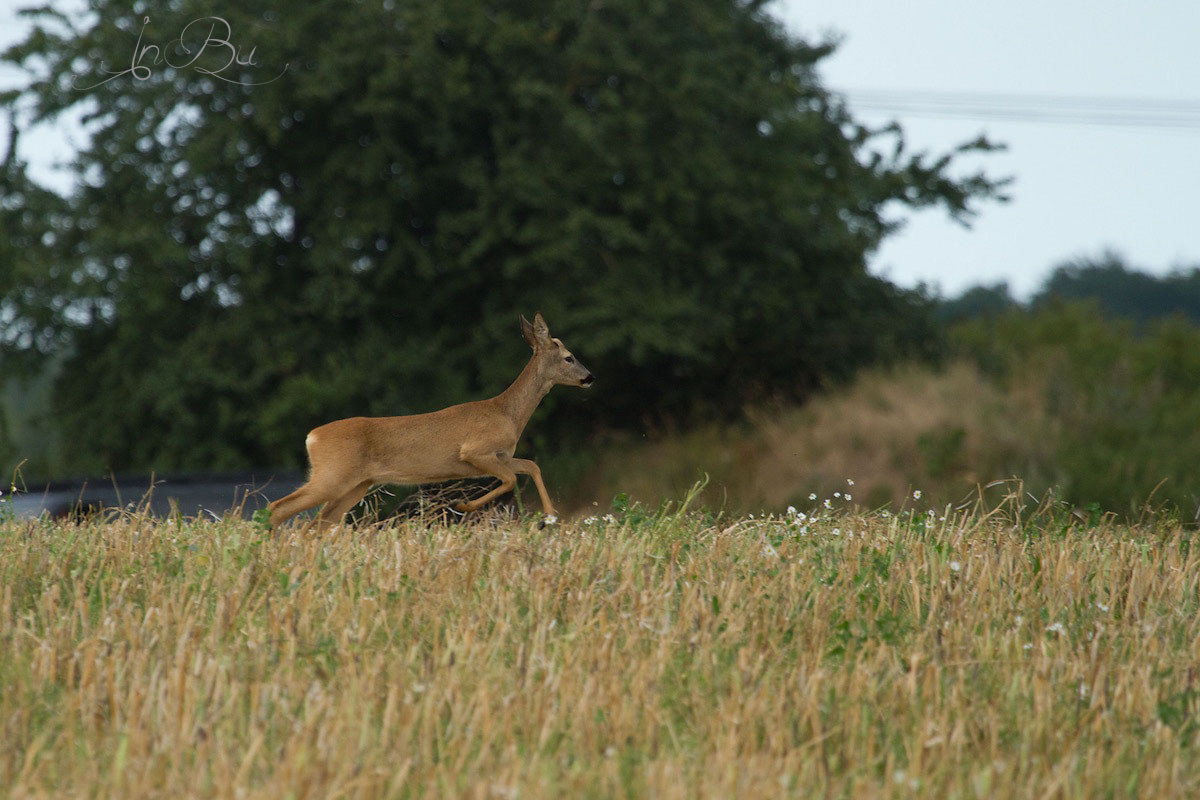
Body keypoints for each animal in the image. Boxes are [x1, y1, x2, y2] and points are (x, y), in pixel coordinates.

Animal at [268, 311, 595, 532]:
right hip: (332, 476)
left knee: (315, 525)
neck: (507, 413)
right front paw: (461, 505)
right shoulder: (475, 451)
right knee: (279, 508)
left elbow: (531, 466)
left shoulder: (501, 456)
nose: (590, 377)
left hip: (354, 486)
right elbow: (512, 479)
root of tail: (312, 437)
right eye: (569, 357)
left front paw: (550, 516)